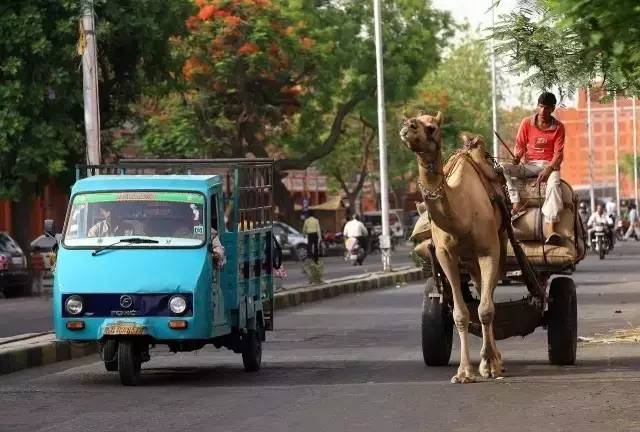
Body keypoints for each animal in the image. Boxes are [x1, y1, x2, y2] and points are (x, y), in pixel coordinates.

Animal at [400, 112, 504, 384]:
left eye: (431, 127)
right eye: (411, 120)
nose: (407, 127)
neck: (463, 213)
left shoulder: (489, 250)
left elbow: (486, 309)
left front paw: (489, 365)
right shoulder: (445, 255)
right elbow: (461, 314)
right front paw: (464, 372)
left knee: (489, 297)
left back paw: (496, 359)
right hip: (468, 261)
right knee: (479, 287)